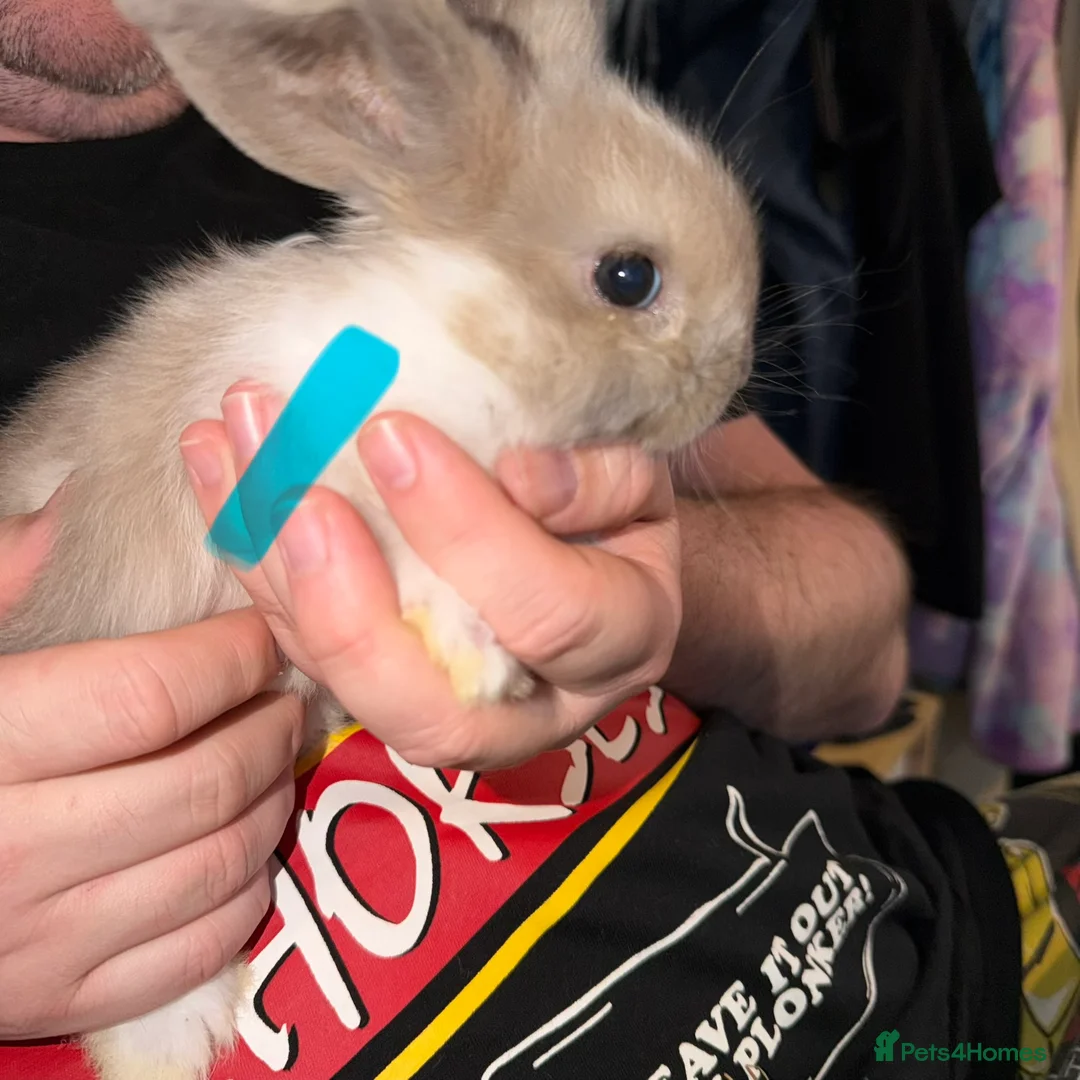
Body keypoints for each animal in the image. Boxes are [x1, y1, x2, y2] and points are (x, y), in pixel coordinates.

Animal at [0, 0, 760, 1077]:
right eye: (629, 277)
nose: (731, 383)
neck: (470, 324)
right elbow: (421, 572)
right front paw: (482, 668)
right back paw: (182, 1037)